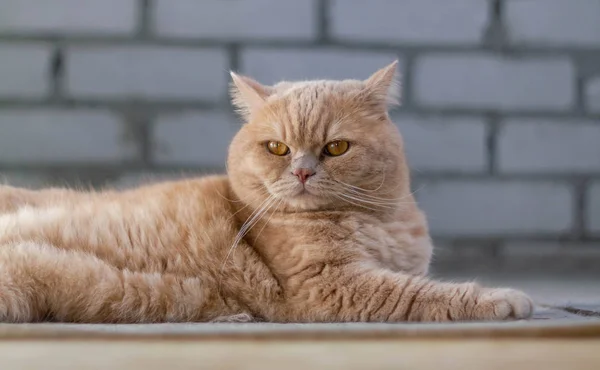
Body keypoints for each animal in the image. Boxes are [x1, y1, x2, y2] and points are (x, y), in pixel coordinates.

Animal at [0, 62, 532, 322]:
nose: (301, 172)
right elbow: (423, 293)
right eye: (277, 147)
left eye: (336, 147)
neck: (378, 221)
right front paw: (504, 298)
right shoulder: (330, 286)